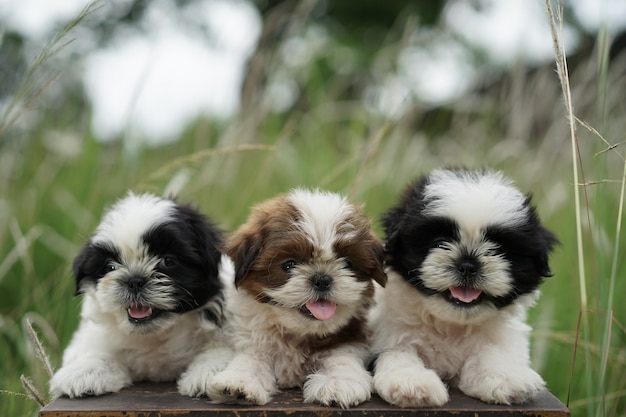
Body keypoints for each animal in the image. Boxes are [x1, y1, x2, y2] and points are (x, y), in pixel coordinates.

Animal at [48, 193, 233, 398]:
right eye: (110, 267)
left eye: (168, 261)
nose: (134, 280)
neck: (155, 336)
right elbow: (96, 351)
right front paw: (85, 371)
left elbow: (222, 350)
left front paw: (210, 373)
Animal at [208, 188, 386, 406]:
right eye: (289, 265)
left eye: (348, 264)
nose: (322, 279)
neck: (297, 331)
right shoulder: (254, 338)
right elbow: (252, 359)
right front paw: (238, 383)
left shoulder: (349, 336)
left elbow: (342, 356)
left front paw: (338, 383)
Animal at [368, 168, 552, 406]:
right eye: (439, 242)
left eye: (497, 250)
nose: (468, 265)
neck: (451, 326)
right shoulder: (387, 332)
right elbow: (396, 352)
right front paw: (412, 382)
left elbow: (491, 354)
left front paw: (506, 376)